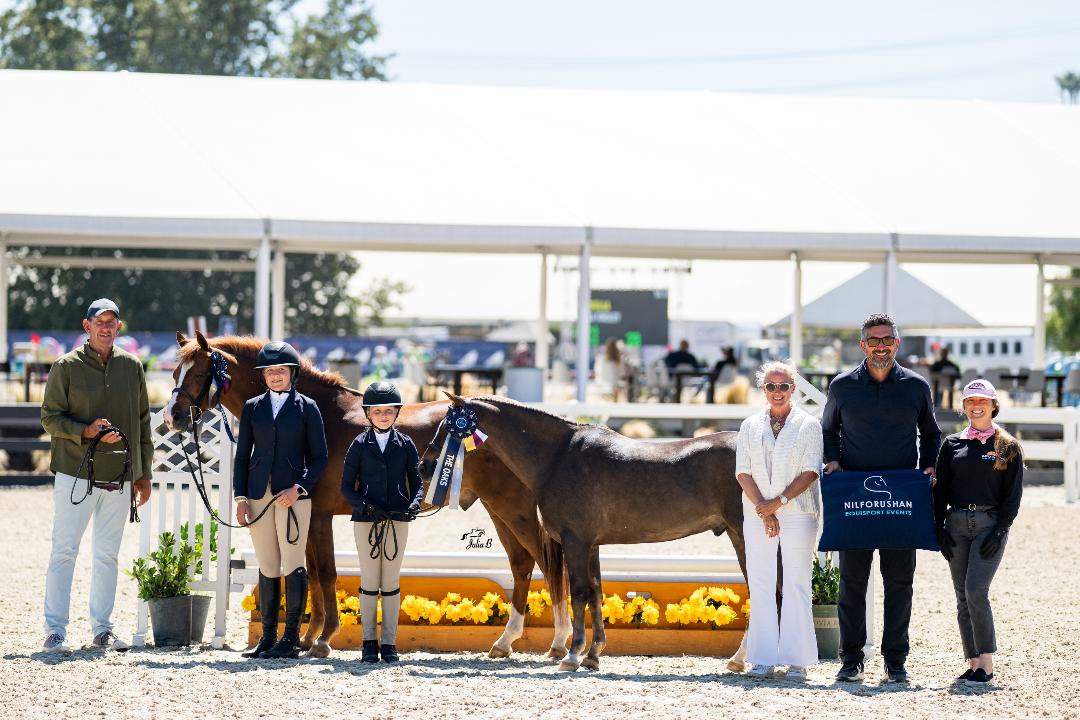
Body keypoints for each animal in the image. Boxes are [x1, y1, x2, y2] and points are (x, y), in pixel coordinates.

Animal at [162, 332, 571, 659]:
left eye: (198, 373)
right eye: (174, 372)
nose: (172, 417)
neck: (320, 415)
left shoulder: (317, 514)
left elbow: (325, 574)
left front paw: (321, 640)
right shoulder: (307, 516)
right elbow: (312, 575)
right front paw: (308, 639)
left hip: (512, 508)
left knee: (546, 564)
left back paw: (560, 644)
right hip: (498, 509)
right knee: (521, 565)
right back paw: (505, 643)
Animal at [444, 393, 748, 672]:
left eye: (446, 426)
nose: (431, 462)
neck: (558, 456)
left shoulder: (575, 541)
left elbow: (578, 593)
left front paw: (572, 655)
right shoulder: (591, 545)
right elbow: (595, 592)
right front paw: (592, 655)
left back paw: (739, 660)